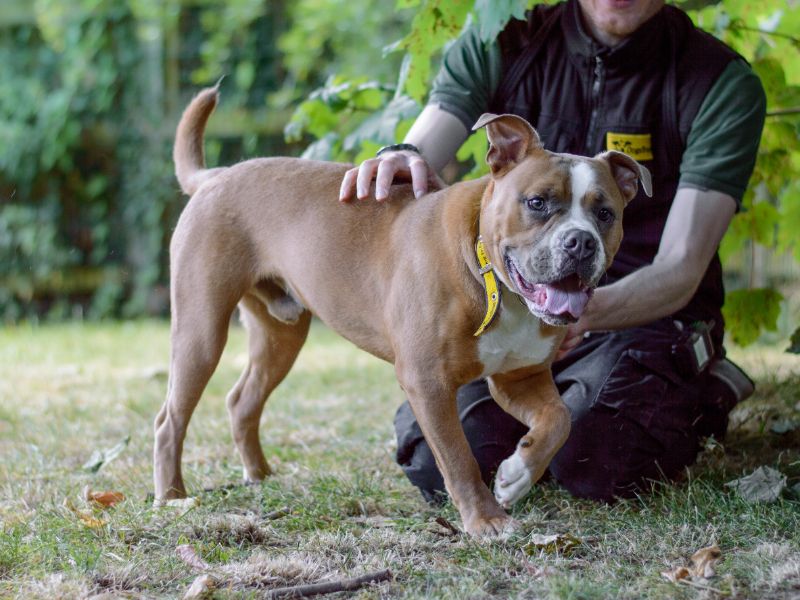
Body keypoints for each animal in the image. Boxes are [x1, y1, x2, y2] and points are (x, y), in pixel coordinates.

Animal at [155, 85, 648, 540]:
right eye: (537, 202)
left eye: (605, 213)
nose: (580, 243)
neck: (492, 278)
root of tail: (217, 176)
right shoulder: (427, 382)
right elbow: (458, 457)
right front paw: (486, 519)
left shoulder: (519, 378)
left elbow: (558, 419)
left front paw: (516, 475)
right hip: (201, 331)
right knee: (170, 419)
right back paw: (173, 499)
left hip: (281, 335)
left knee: (243, 401)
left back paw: (260, 479)